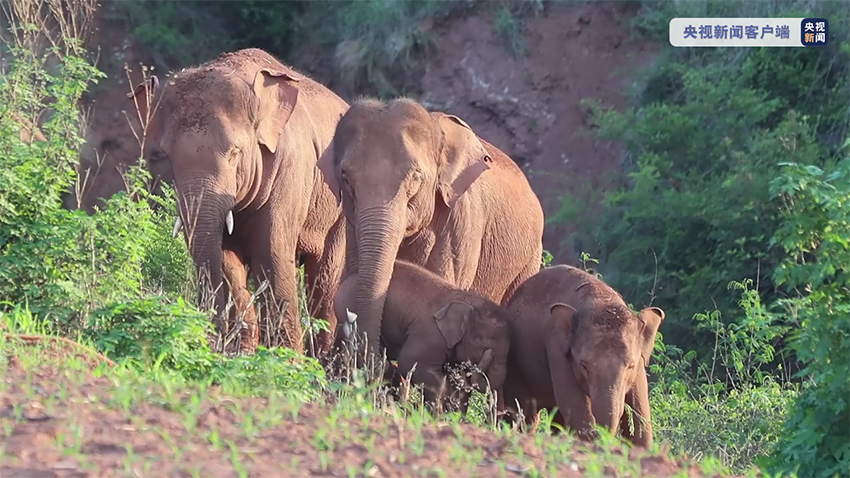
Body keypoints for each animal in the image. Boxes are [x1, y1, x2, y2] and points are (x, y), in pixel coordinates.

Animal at [127, 48, 349, 356]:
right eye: (167, 156)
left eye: (235, 152)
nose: (210, 337)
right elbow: (225, 258)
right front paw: (243, 351)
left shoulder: (290, 168)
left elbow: (271, 253)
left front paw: (286, 359)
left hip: (340, 212)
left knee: (325, 278)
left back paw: (323, 359)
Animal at [501, 265, 665, 448]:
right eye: (584, 365)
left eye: (630, 366)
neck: (601, 299)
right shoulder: (556, 348)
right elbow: (575, 406)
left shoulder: (639, 368)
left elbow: (641, 413)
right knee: (525, 413)